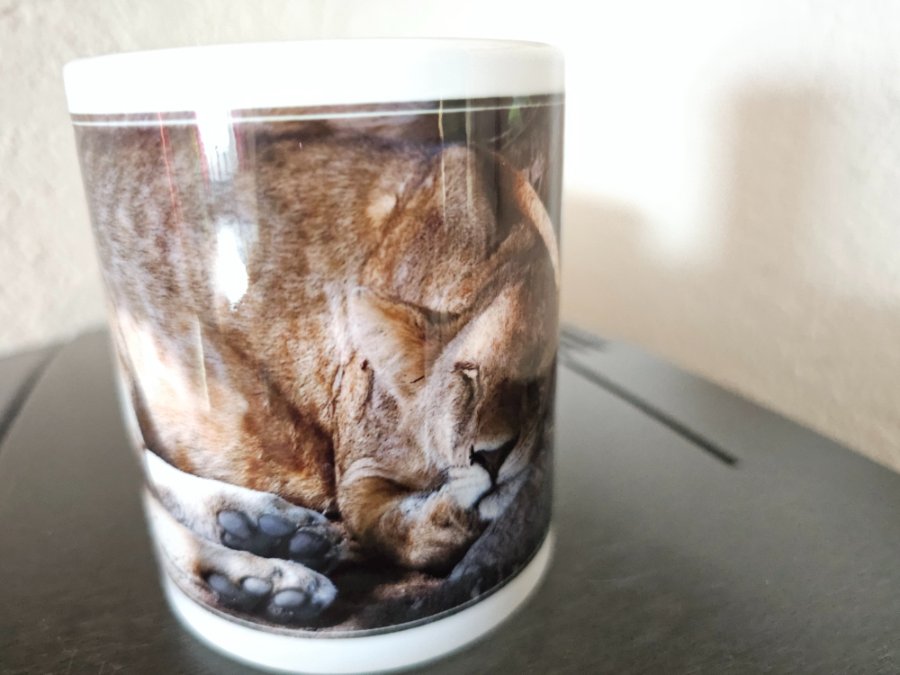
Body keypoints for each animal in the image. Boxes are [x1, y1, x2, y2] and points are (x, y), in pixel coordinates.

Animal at [77, 116, 559, 628]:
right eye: (467, 376)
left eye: (537, 378)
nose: (491, 457)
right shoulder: (358, 468)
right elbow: (392, 532)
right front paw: (453, 516)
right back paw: (263, 575)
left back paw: (264, 530)